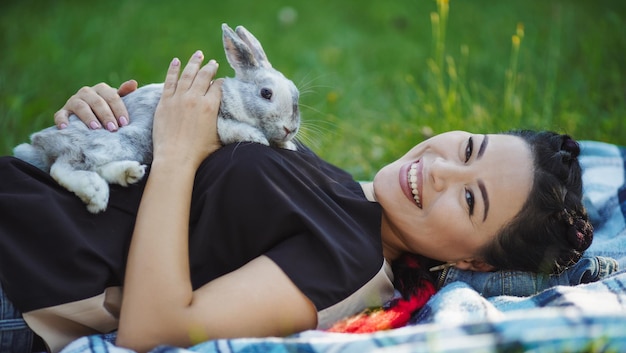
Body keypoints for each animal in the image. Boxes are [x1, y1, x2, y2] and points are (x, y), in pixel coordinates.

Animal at [12, 24, 300, 214]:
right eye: (266, 93)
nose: (290, 128)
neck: (233, 95)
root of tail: (38, 142)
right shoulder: (218, 120)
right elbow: (232, 128)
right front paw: (256, 137)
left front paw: (288, 146)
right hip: (116, 141)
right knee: (61, 167)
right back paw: (96, 194)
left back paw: (128, 174)